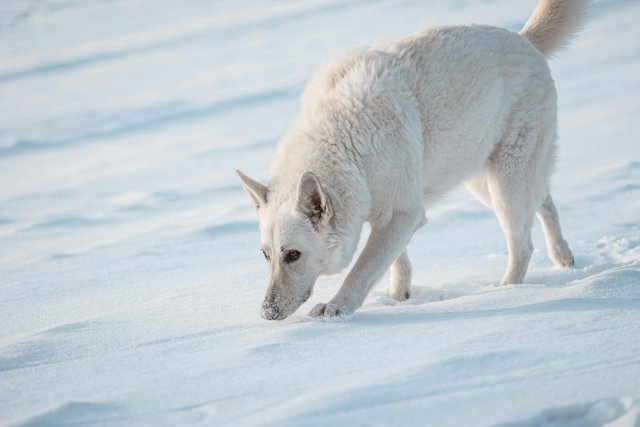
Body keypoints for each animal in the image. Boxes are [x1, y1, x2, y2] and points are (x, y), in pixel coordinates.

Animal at [236, 0, 584, 320]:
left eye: (293, 255)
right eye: (265, 255)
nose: (266, 313)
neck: (346, 144)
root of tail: (524, 40)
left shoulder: (400, 213)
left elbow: (363, 267)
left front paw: (337, 308)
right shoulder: (395, 214)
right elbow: (394, 258)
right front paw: (399, 294)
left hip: (505, 184)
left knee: (522, 243)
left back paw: (506, 291)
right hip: (480, 177)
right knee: (543, 201)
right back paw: (563, 256)